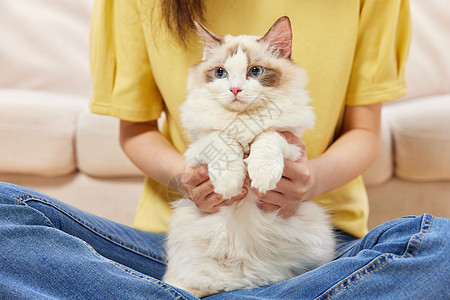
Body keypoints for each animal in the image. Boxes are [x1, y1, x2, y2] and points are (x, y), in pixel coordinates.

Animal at [163, 15, 336, 298]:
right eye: (220, 73)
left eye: (255, 72)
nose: (235, 89)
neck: (243, 119)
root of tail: (242, 283)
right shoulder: (201, 146)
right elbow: (224, 140)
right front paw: (228, 186)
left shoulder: (290, 142)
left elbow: (266, 139)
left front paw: (262, 178)